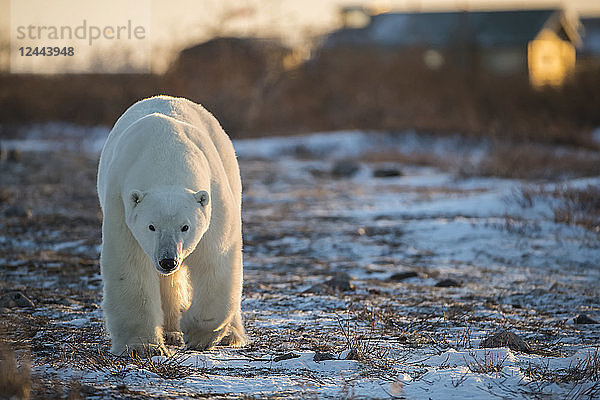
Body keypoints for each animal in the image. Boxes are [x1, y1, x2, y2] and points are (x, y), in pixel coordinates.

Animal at [97, 95, 247, 354]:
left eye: (185, 227)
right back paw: (170, 330)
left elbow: (215, 259)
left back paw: (230, 335)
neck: (166, 155)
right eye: (151, 226)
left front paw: (197, 334)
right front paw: (142, 346)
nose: (168, 260)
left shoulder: (214, 197)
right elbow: (129, 266)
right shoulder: (120, 204)